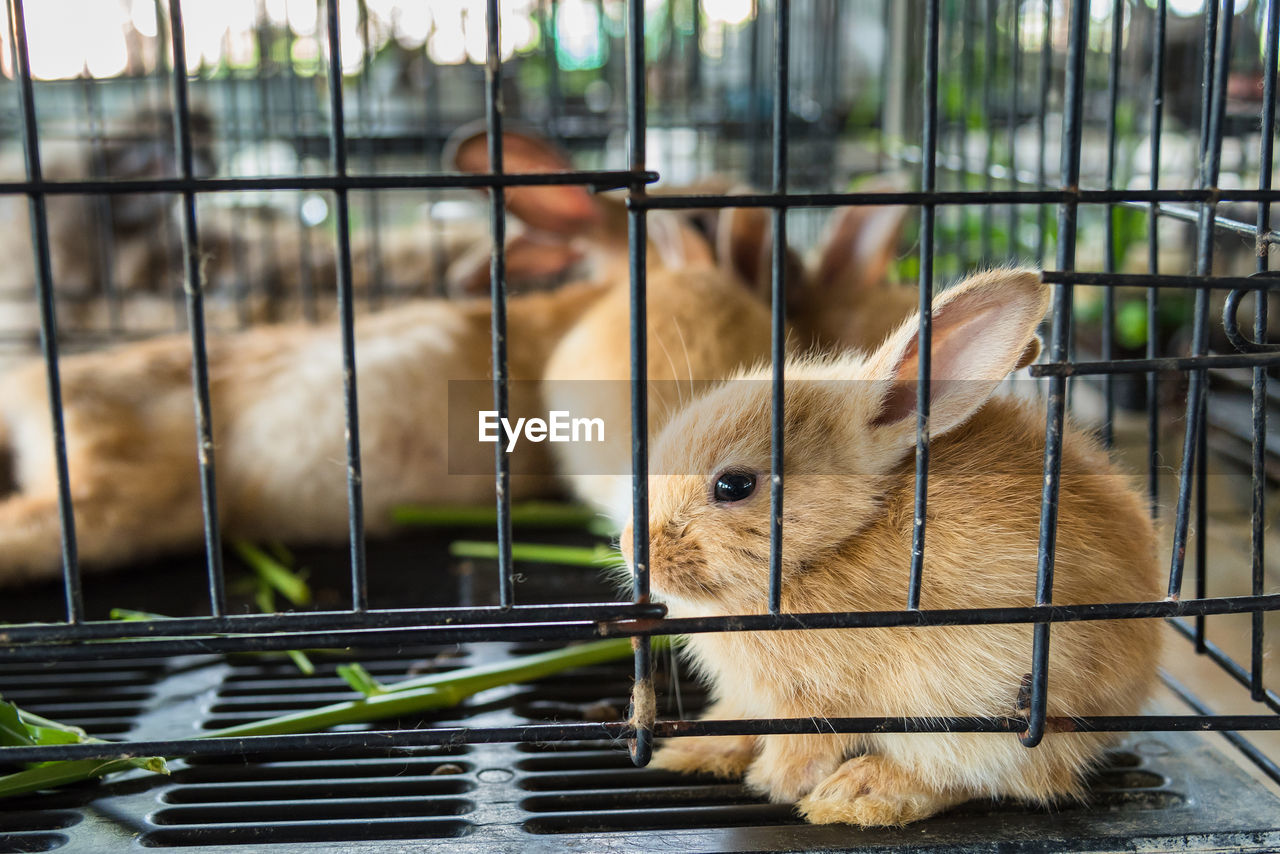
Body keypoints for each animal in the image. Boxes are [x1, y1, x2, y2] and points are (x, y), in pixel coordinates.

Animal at [624, 268, 1167, 829]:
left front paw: (775, 783)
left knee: (977, 776)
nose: (631, 549)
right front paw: (700, 750)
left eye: (734, 485)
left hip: (989, 711)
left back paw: (855, 795)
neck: (836, 542)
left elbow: (801, 746)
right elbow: (738, 719)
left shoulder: (816, 699)